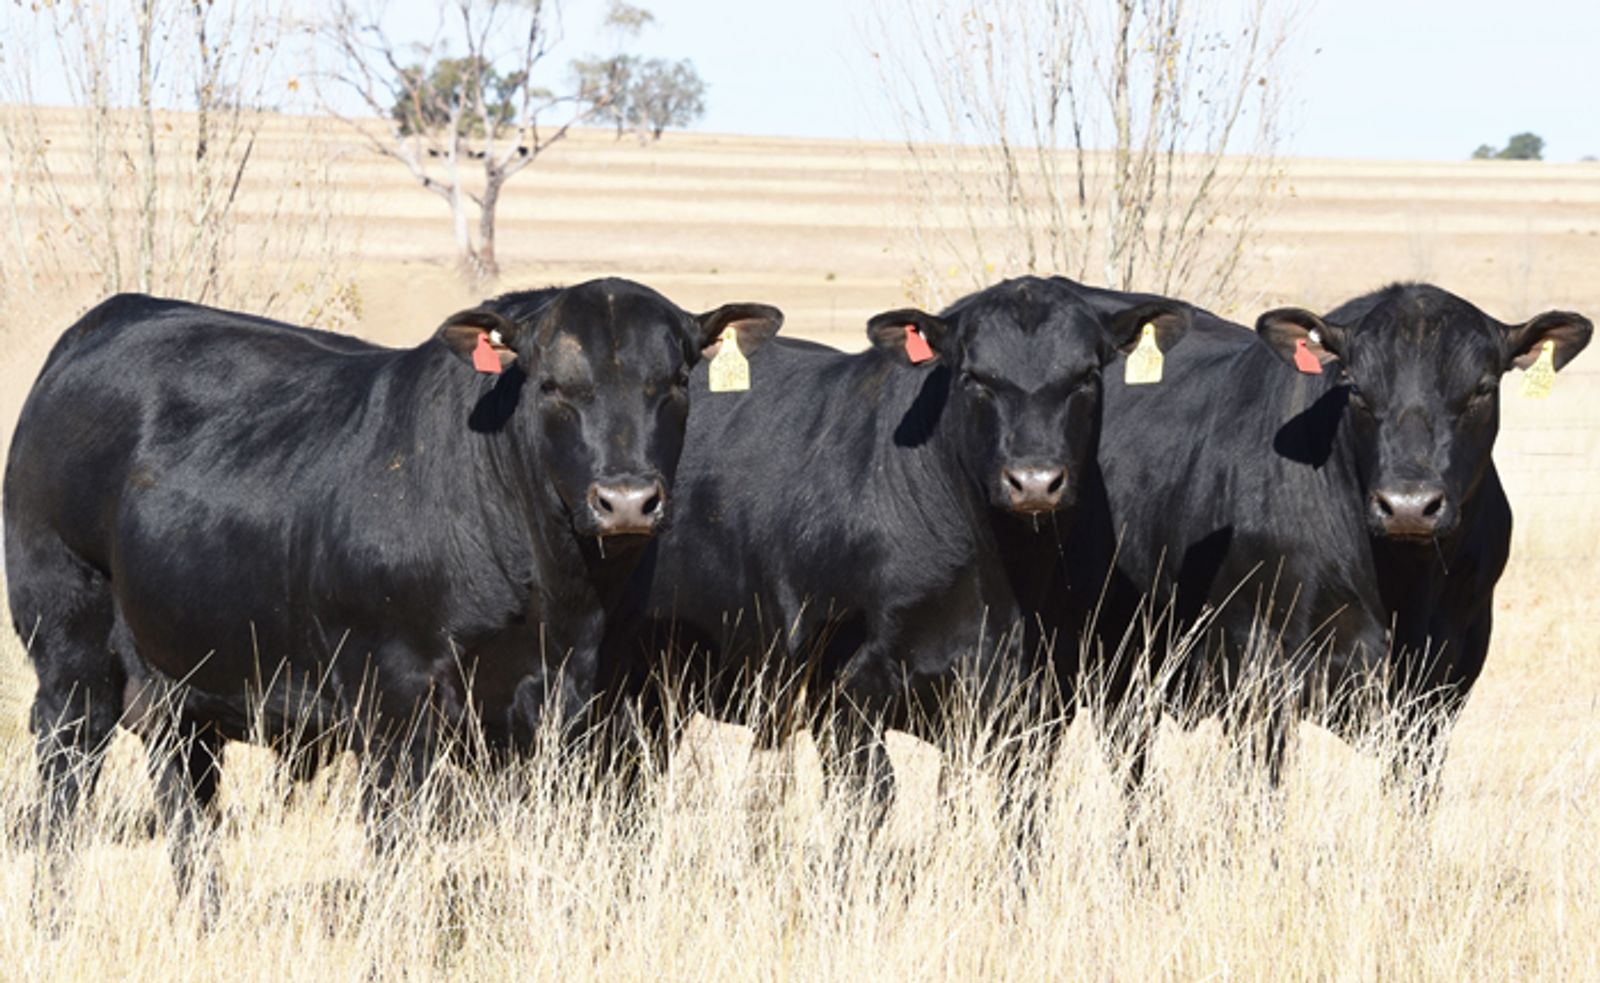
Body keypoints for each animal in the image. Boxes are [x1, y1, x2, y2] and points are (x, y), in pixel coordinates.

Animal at [3, 278, 783, 899]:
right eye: (553, 385)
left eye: (675, 382)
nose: (625, 500)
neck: (564, 600)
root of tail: (110, 317)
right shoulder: (396, 702)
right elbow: (396, 844)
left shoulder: (610, 708)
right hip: (70, 641)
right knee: (68, 766)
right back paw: (53, 910)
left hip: (176, 675)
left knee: (185, 792)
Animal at [596, 276, 1193, 810]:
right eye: (974, 377)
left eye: (1087, 375)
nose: (1034, 481)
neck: (999, 581)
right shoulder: (843, 688)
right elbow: (871, 795)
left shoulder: (1036, 699)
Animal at [1064, 282, 1591, 796]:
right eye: (1355, 387)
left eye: (1483, 388)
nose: (1408, 505)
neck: (1403, 589)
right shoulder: (1255, 668)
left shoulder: (1440, 688)